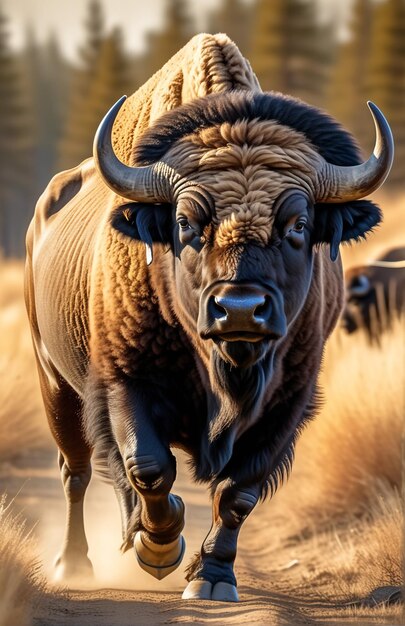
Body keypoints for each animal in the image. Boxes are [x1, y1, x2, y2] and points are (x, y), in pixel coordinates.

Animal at [24, 34, 392, 600]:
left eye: (299, 224)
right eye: (184, 224)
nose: (239, 309)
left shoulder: (286, 405)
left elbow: (238, 492)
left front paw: (211, 578)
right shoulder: (124, 381)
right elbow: (149, 466)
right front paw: (159, 549)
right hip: (54, 381)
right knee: (78, 470)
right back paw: (75, 564)